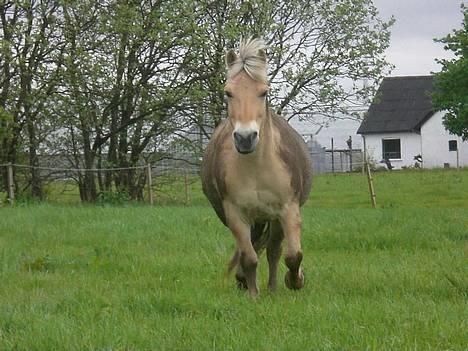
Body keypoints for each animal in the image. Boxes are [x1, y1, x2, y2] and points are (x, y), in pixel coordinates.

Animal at [200, 37, 312, 296]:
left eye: (264, 92)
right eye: (228, 92)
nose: (245, 138)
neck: (256, 169)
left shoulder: (287, 209)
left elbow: (292, 255)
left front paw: (295, 281)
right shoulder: (235, 214)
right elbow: (249, 257)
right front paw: (253, 295)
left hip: (272, 219)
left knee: (273, 251)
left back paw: (273, 288)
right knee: (251, 248)